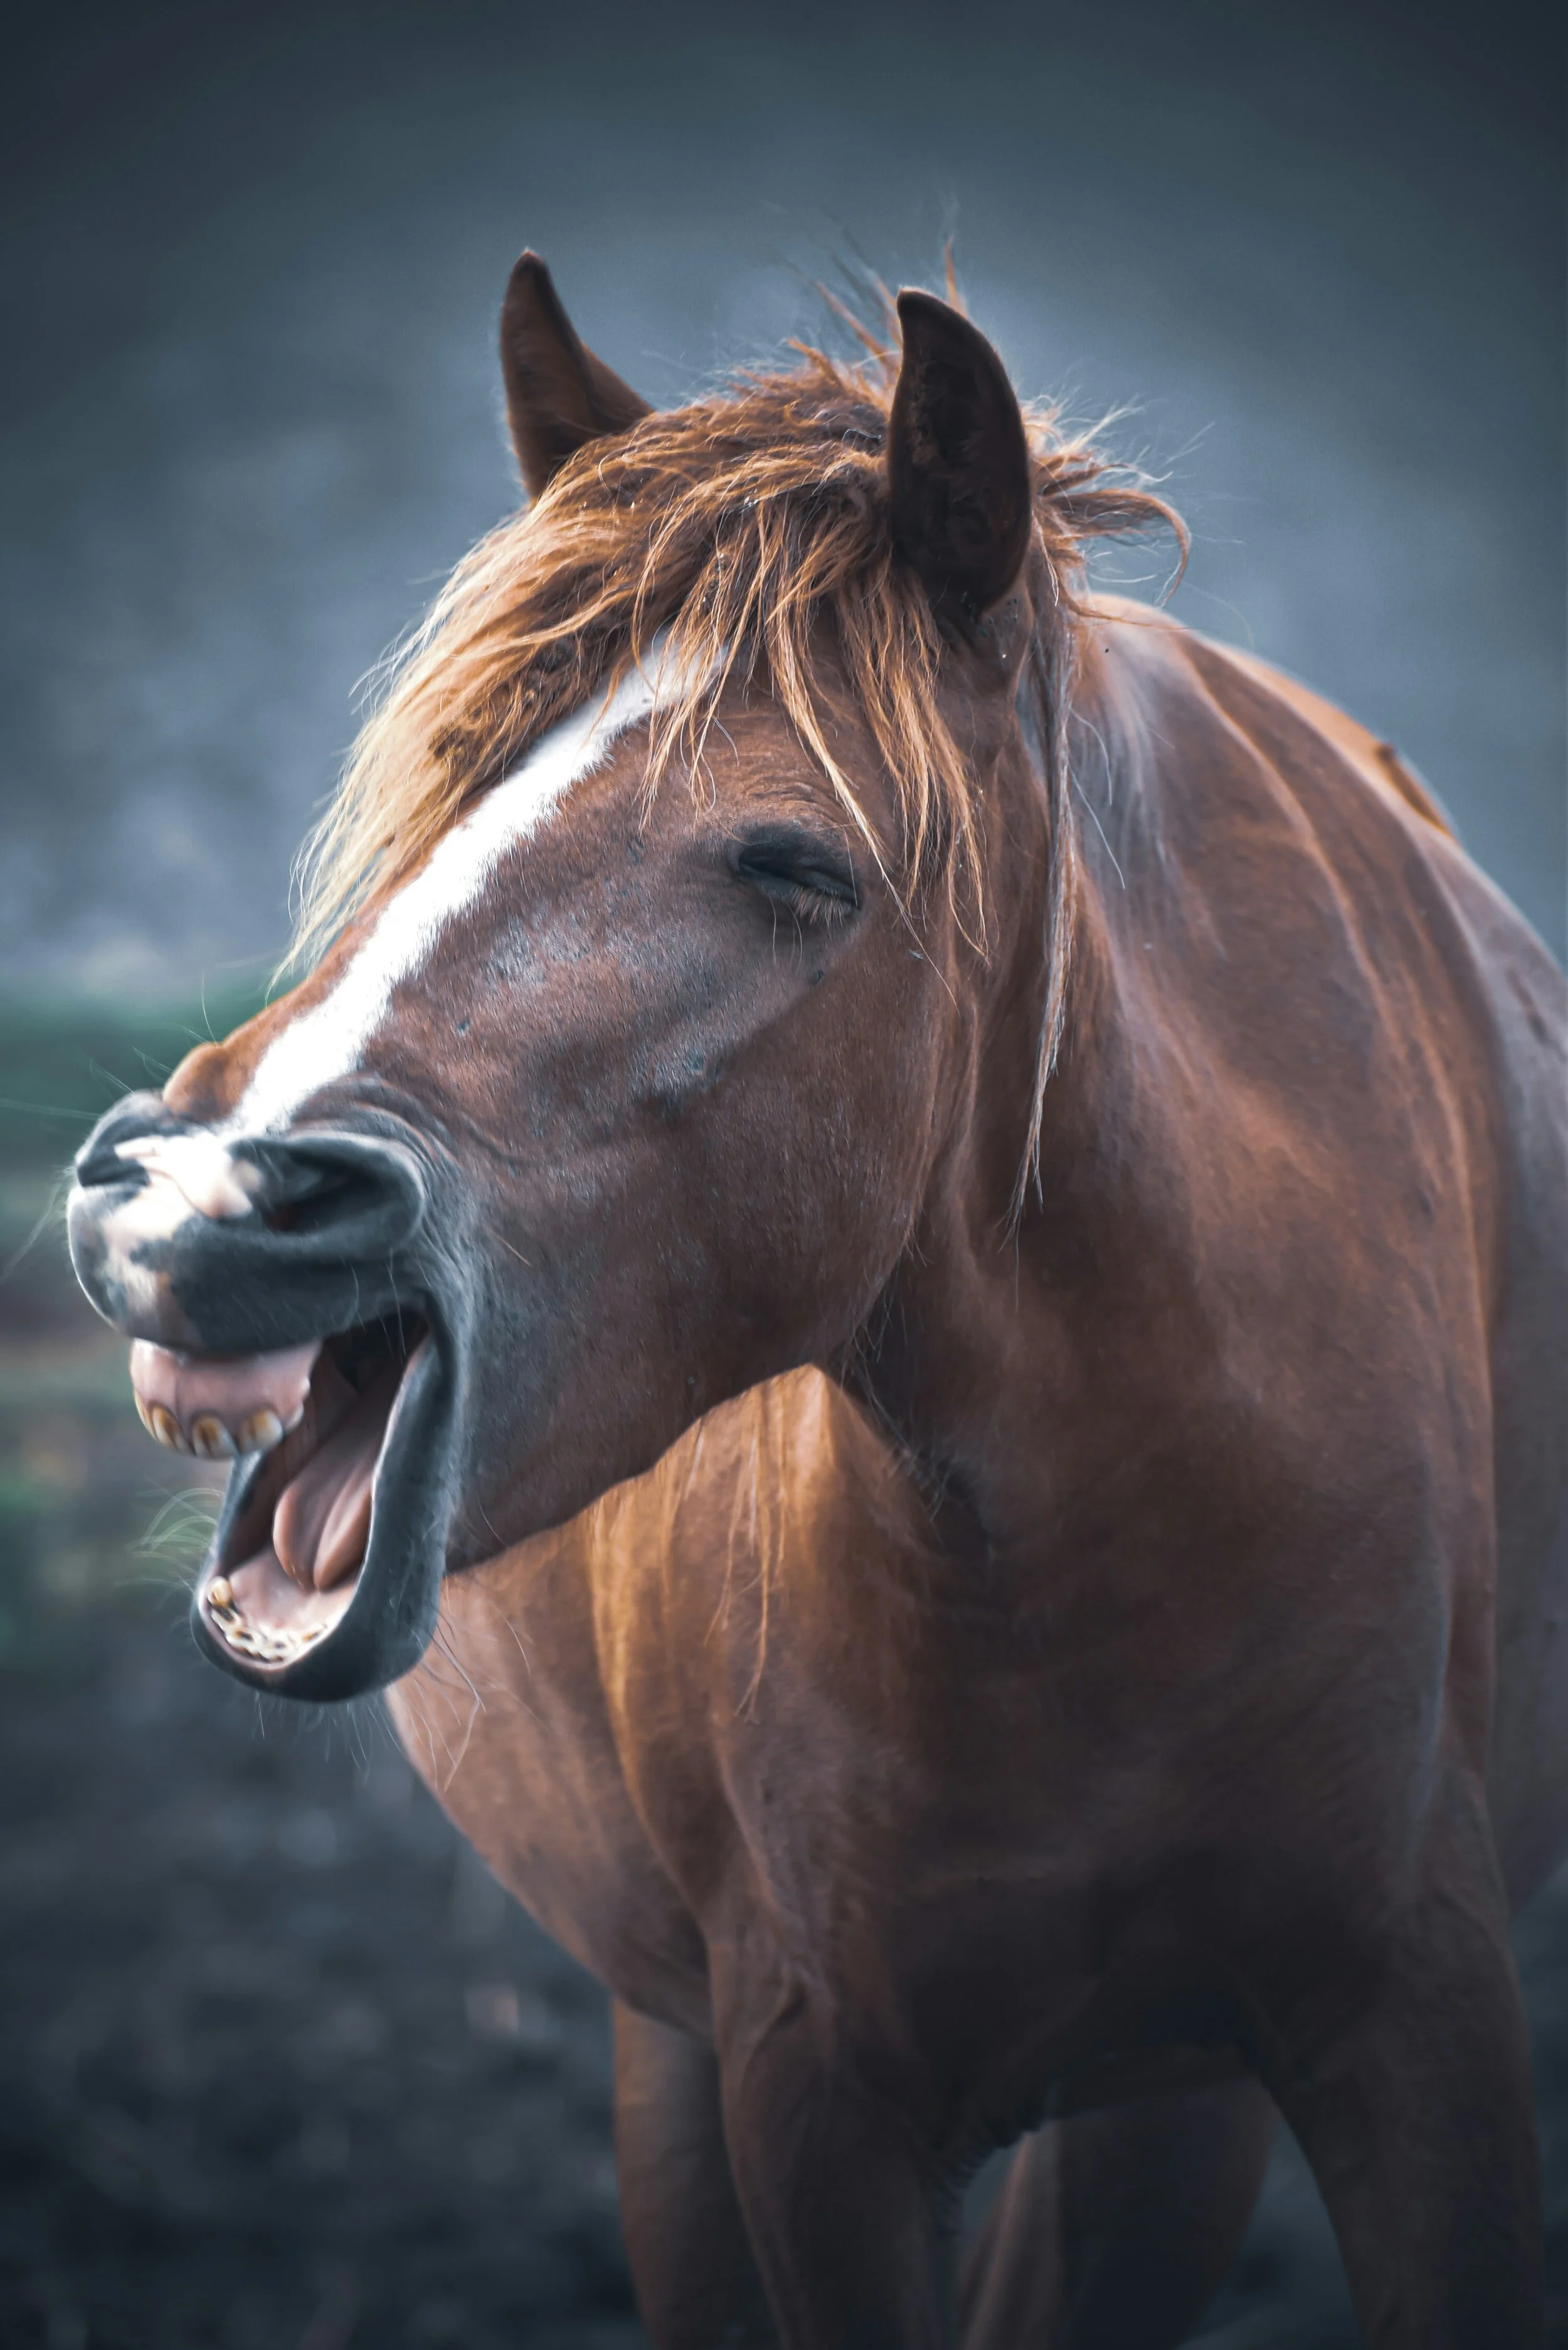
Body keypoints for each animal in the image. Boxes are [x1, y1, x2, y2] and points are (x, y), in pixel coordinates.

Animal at [68, 252, 1567, 2347]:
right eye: (448, 784)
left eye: (794, 864)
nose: (187, 1195)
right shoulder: (809, 2089)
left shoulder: (1412, 2023)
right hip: (691, 2051)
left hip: (1162, 2097)